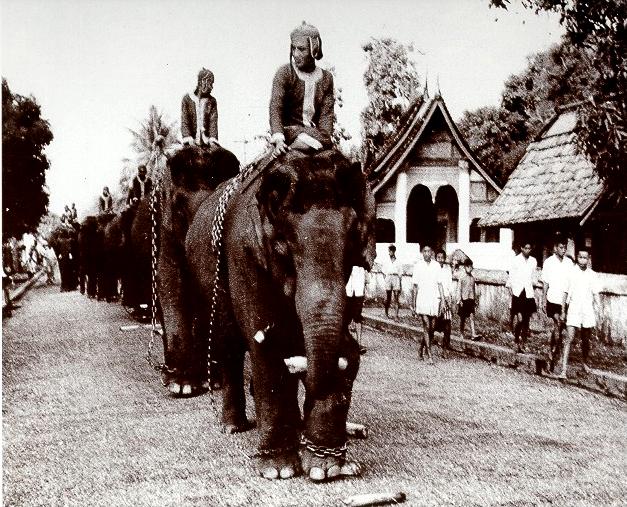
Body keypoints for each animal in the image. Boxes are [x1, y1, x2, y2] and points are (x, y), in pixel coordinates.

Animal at [159, 148, 376, 484]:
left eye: (353, 239)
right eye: (284, 246)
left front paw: (326, 468)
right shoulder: (244, 256)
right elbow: (264, 347)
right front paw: (280, 470)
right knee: (229, 345)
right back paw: (232, 425)